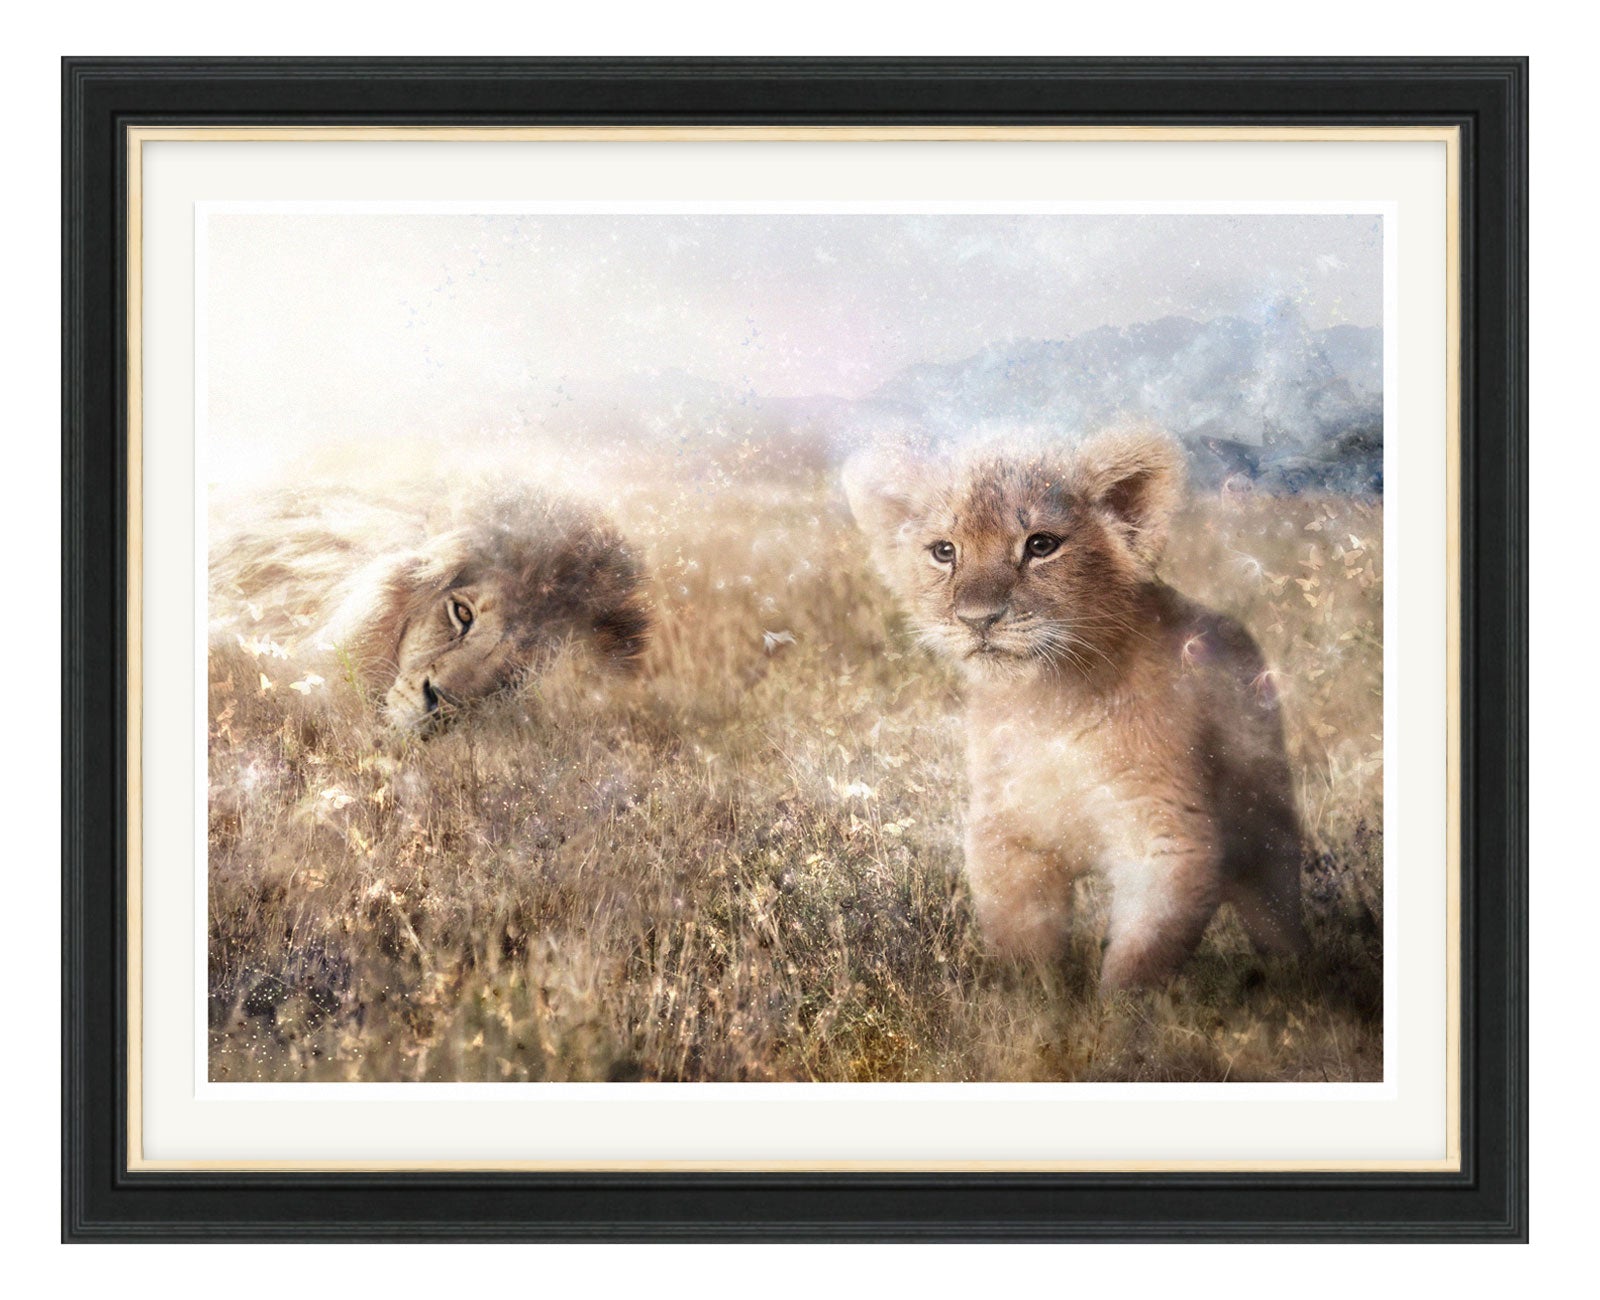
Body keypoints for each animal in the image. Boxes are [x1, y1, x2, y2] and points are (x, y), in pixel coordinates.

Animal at [844, 427, 1306, 990]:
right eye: (944, 551)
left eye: (1041, 545)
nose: (978, 619)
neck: (1052, 704)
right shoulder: (1007, 836)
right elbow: (1024, 949)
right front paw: (1039, 1005)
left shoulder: (1165, 838)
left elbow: (1138, 963)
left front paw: (1117, 1011)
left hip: (1266, 817)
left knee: (1276, 906)